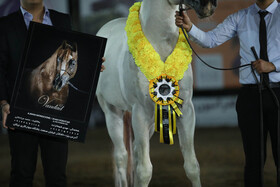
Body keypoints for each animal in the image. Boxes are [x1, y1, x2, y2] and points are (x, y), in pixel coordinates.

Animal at [96, 0, 217, 186]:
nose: (209, 5)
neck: (160, 45)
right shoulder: (139, 113)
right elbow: (144, 171)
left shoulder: (186, 110)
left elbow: (192, 166)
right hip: (112, 112)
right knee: (121, 156)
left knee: (135, 153)